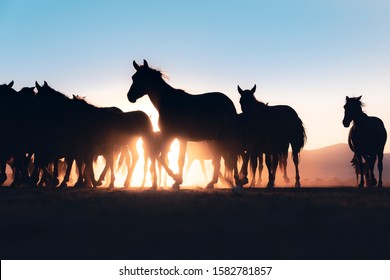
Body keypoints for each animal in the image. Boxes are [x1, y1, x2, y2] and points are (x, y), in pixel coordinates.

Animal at [126, 59, 239, 190]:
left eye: (141, 78)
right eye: (133, 77)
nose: (129, 96)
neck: (168, 102)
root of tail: (229, 102)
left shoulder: (176, 137)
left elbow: (173, 159)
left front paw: (177, 179)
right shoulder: (170, 136)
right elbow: (164, 158)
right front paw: (177, 181)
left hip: (227, 135)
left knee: (233, 155)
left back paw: (237, 180)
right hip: (213, 139)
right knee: (217, 158)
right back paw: (212, 183)